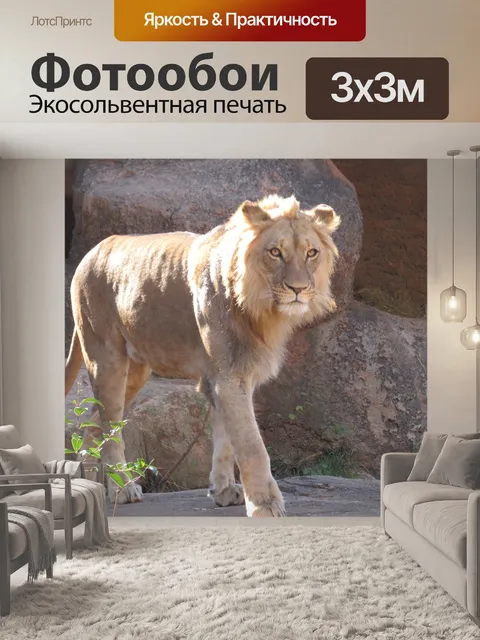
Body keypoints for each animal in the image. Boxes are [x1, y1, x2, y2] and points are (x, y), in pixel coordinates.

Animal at [65, 195, 341, 516]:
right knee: (110, 426)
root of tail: (90, 252)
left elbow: (225, 439)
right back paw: (123, 488)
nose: (298, 289)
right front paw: (265, 504)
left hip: (135, 372)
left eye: (311, 253)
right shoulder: (230, 377)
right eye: (275, 252)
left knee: (93, 422)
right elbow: (252, 446)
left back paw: (88, 487)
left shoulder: (227, 375)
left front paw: (223, 490)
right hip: (106, 359)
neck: (260, 311)